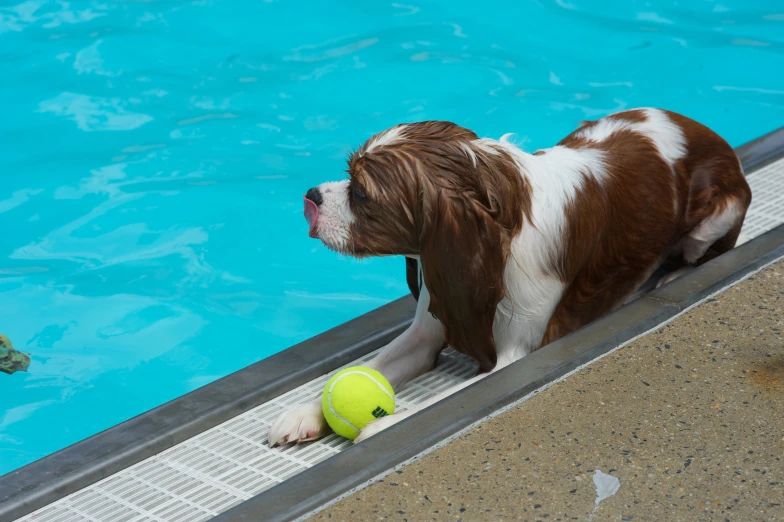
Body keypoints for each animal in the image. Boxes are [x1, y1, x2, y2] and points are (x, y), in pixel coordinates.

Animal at [270, 107, 752, 444]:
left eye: (362, 193)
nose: (311, 195)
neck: (500, 222)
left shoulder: (515, 354)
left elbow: (442, 401)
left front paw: (385, 425)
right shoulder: (433, 318)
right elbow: (372, 365)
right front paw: (306, 411)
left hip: (716, 217)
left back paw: (671, 277)